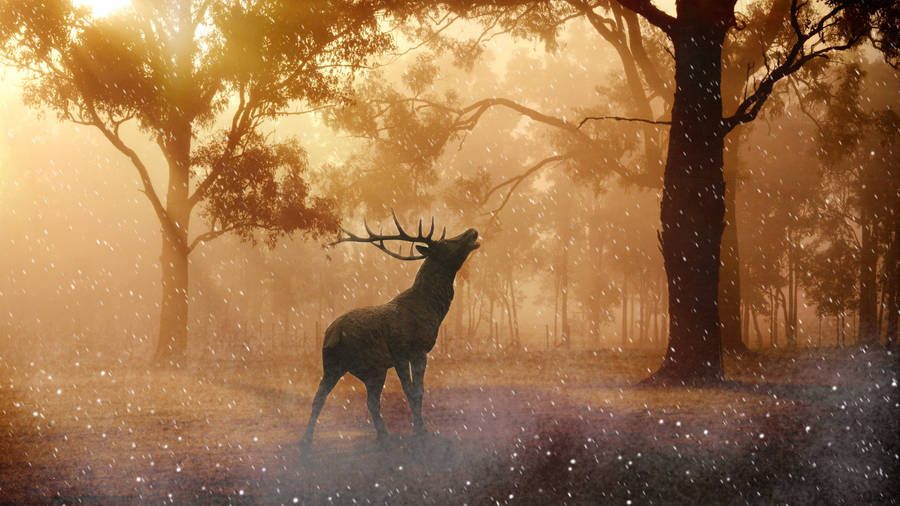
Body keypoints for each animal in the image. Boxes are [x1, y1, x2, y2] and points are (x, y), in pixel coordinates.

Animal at [300, 212, 480, 454]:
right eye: (445, 243)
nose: (472, 231)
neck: (432, 309)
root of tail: (333, 333)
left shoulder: (407, 355)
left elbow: (416, 391)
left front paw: (419, 429)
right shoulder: (410, 350)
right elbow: (415, 391)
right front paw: (421, 431)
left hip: (335, 365)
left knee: (324, 397)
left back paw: (308, 440)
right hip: (373, 364)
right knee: (369, 401)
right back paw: (384, 436)